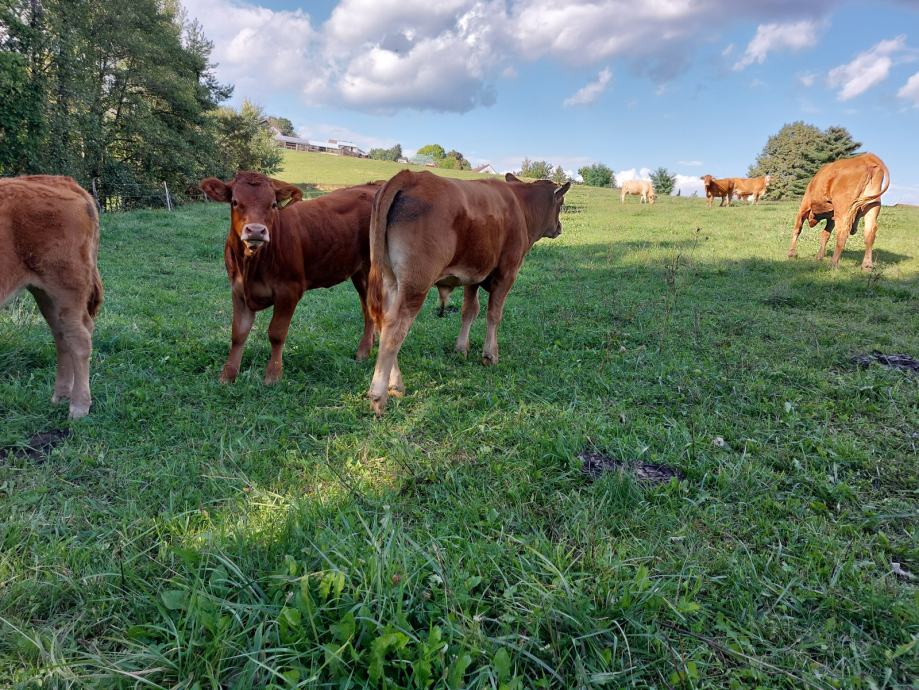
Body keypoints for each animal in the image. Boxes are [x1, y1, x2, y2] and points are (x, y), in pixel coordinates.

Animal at [0, 175, 103, 416]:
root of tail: (62, 181)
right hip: (45, 293)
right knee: (62, 335)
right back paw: (61, 396)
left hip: (67, 286)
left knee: (79, 338)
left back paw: (79, 406)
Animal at [201, 171, 380, 382]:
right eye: (235, 202)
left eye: (273, 204)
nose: (256, 230)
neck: (250, 266)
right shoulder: (238, 291)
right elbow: (238, 333)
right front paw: (227, 376)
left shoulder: (289, 290)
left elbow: (276, 333)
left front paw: (273, 375)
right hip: (359, 273)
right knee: (368, 309)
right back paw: (368, 348)